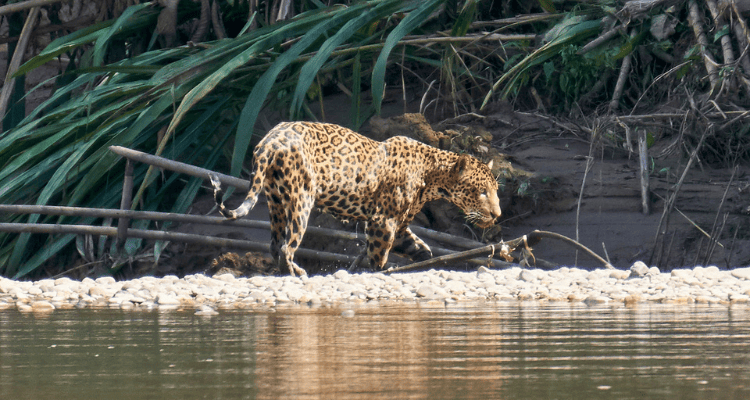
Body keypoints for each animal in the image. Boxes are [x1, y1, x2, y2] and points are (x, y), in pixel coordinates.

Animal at [210, 121, 502, 276]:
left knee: (274, 245)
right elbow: (379, 252)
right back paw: (297, 272)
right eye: (482, 192)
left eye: (495, 190)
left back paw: (285, 271)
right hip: (300, 200)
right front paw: (379, 270)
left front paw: (424, 256)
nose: (497, 215)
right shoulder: (382, 219)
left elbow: (411, 242)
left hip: (276, 203)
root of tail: (268, 142)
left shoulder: (399, 220)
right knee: (286, 246)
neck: (431, 175)